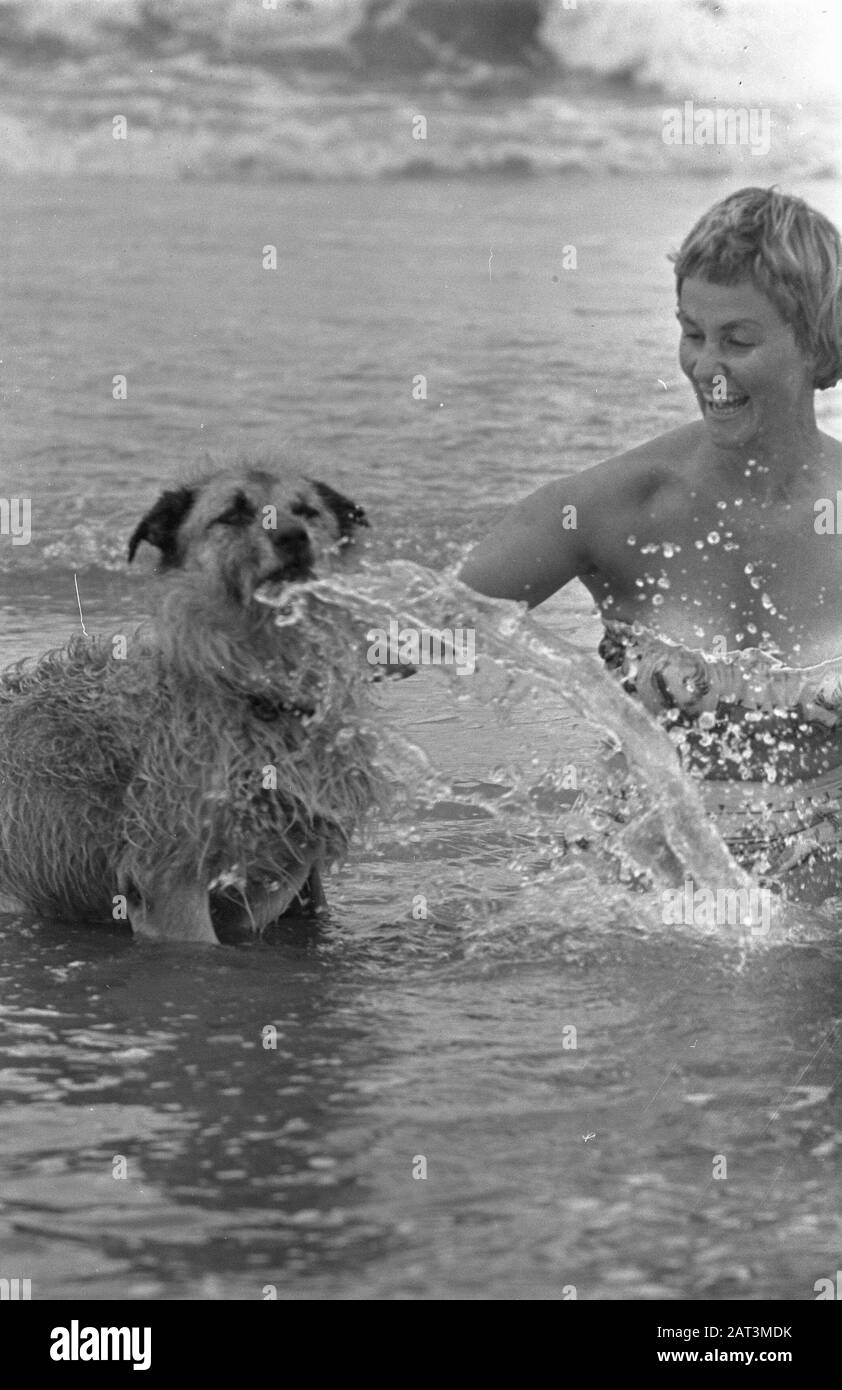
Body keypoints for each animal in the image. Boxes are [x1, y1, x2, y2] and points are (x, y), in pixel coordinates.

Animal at [0, 467, 386, 945]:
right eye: (233, 514)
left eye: (308, 511)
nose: (293, 536)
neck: (256, 690)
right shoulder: (168, 882)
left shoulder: (288, 862)